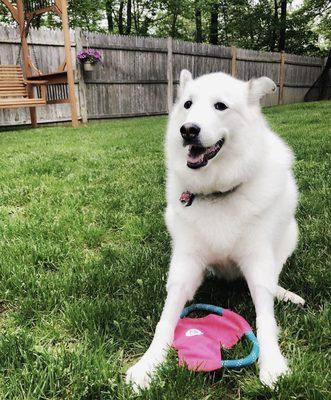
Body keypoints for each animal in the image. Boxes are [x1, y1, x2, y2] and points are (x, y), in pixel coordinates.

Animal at [127, 70, 306, 390]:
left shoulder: (258, 262)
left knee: (273, 280)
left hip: (290, 235)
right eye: (188, 104)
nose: (188, 130)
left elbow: (265, 317)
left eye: (220, 106)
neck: (217, 192)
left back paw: (286, 294)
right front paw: (149, 363)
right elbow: (166, 317)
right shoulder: (186, 264)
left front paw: (272, 364)